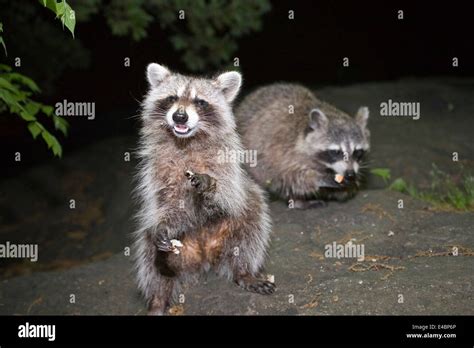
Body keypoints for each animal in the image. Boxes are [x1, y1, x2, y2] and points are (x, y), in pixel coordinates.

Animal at [132, 63, 274, 316]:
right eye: (172, 98)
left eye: (200, 102)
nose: (180, 115)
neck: (186, 141)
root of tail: (204, 255)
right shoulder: (157, 170)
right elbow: (167, 203)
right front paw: (165, 223)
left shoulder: (227, 163)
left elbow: (228, 195)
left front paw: (210, 186)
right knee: (150, 255)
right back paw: (158, 298)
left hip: (238, 227)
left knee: (252, 222)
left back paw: (244, 271)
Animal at [237, 83, 370, 209]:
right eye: (336, 152)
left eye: (358, 152)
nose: (350, 174)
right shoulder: (284, 150)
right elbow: (293, 177)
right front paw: (320, 178)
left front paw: (348, 186)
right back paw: (296, 200)